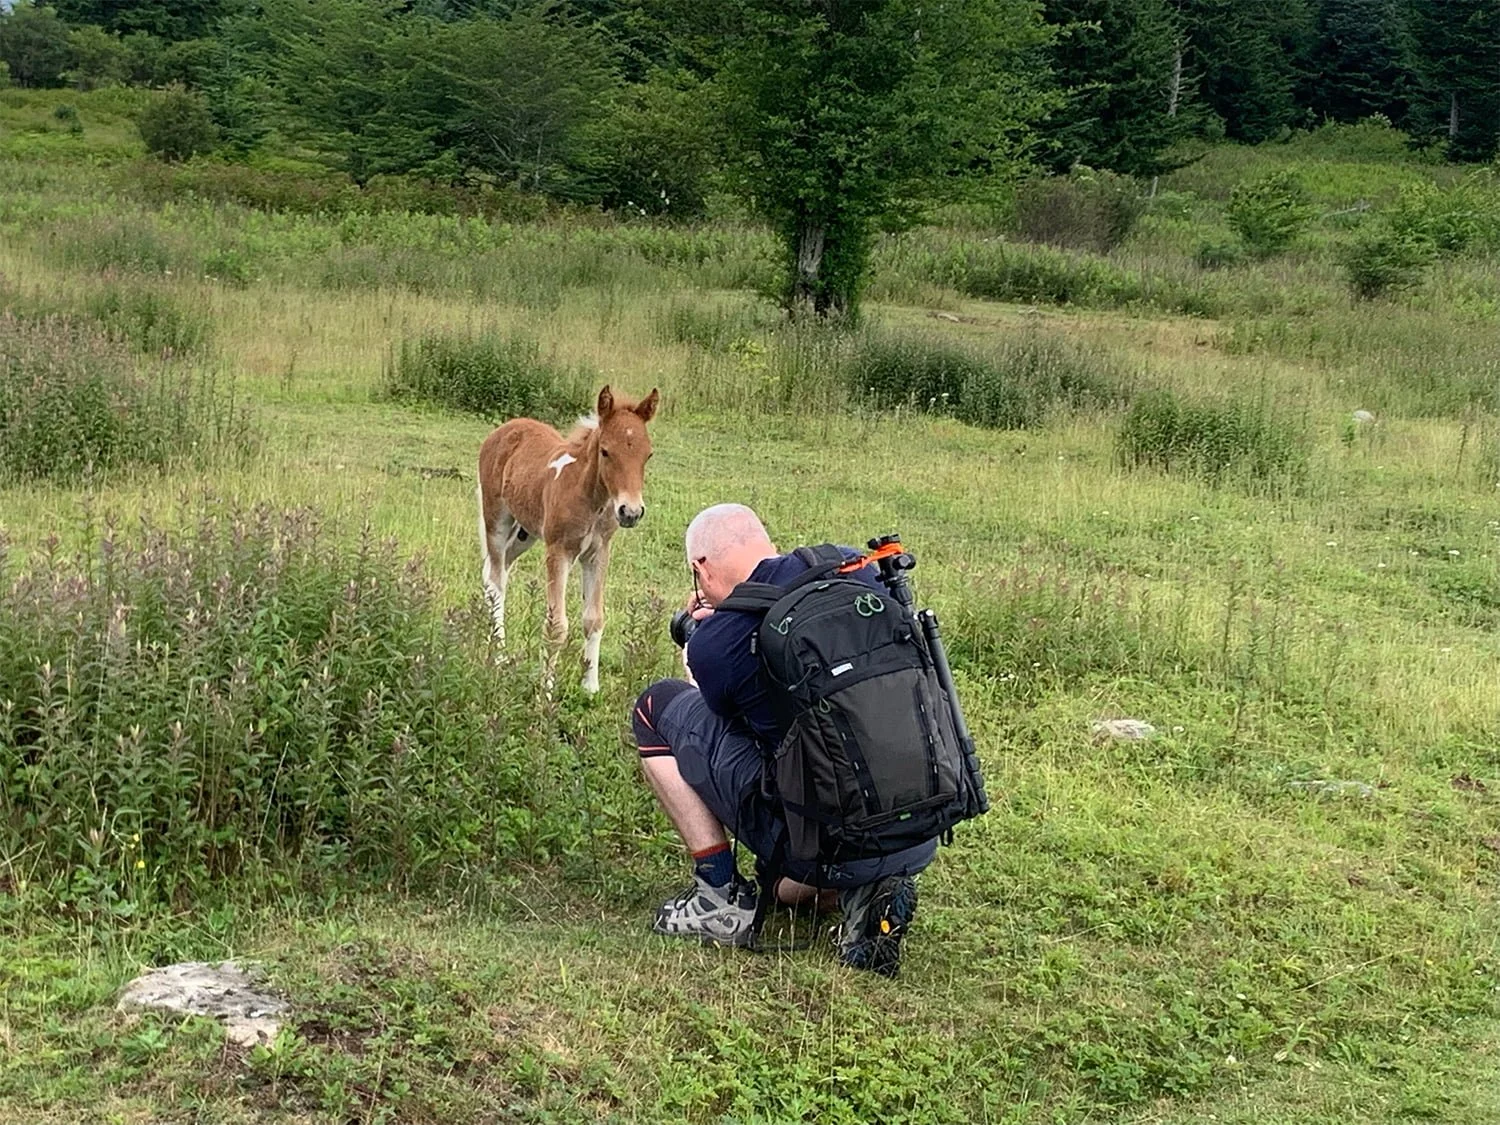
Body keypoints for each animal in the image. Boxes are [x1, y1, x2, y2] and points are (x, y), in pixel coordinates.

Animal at [477, 384, 659, 694]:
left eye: (648, 455)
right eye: (605, 451)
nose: (631, 512)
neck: (589, 496)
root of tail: (505, 428)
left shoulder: (598, 553)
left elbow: (594, 618)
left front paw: (591, 687)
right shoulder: (558, 551)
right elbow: (557, 626)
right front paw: (547, 692)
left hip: (525, 533)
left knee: (497, 571)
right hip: (496, 520)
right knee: (495, 581)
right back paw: (499, 654)